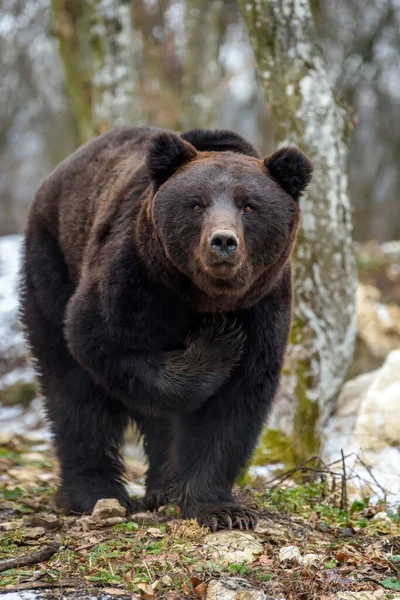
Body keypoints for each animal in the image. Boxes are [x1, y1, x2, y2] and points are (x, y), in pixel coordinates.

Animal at [19, 126, 312, 528]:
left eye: (249, 206)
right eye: (197, 204)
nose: (223, 241)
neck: (204, 298)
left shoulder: (263, 304)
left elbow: (236, 402)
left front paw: (220, 509)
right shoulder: (136, 279)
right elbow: (103, 342)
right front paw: (216, 344)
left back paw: (164, 487)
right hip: (53, 263)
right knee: (72, 389)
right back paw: (95, 492)